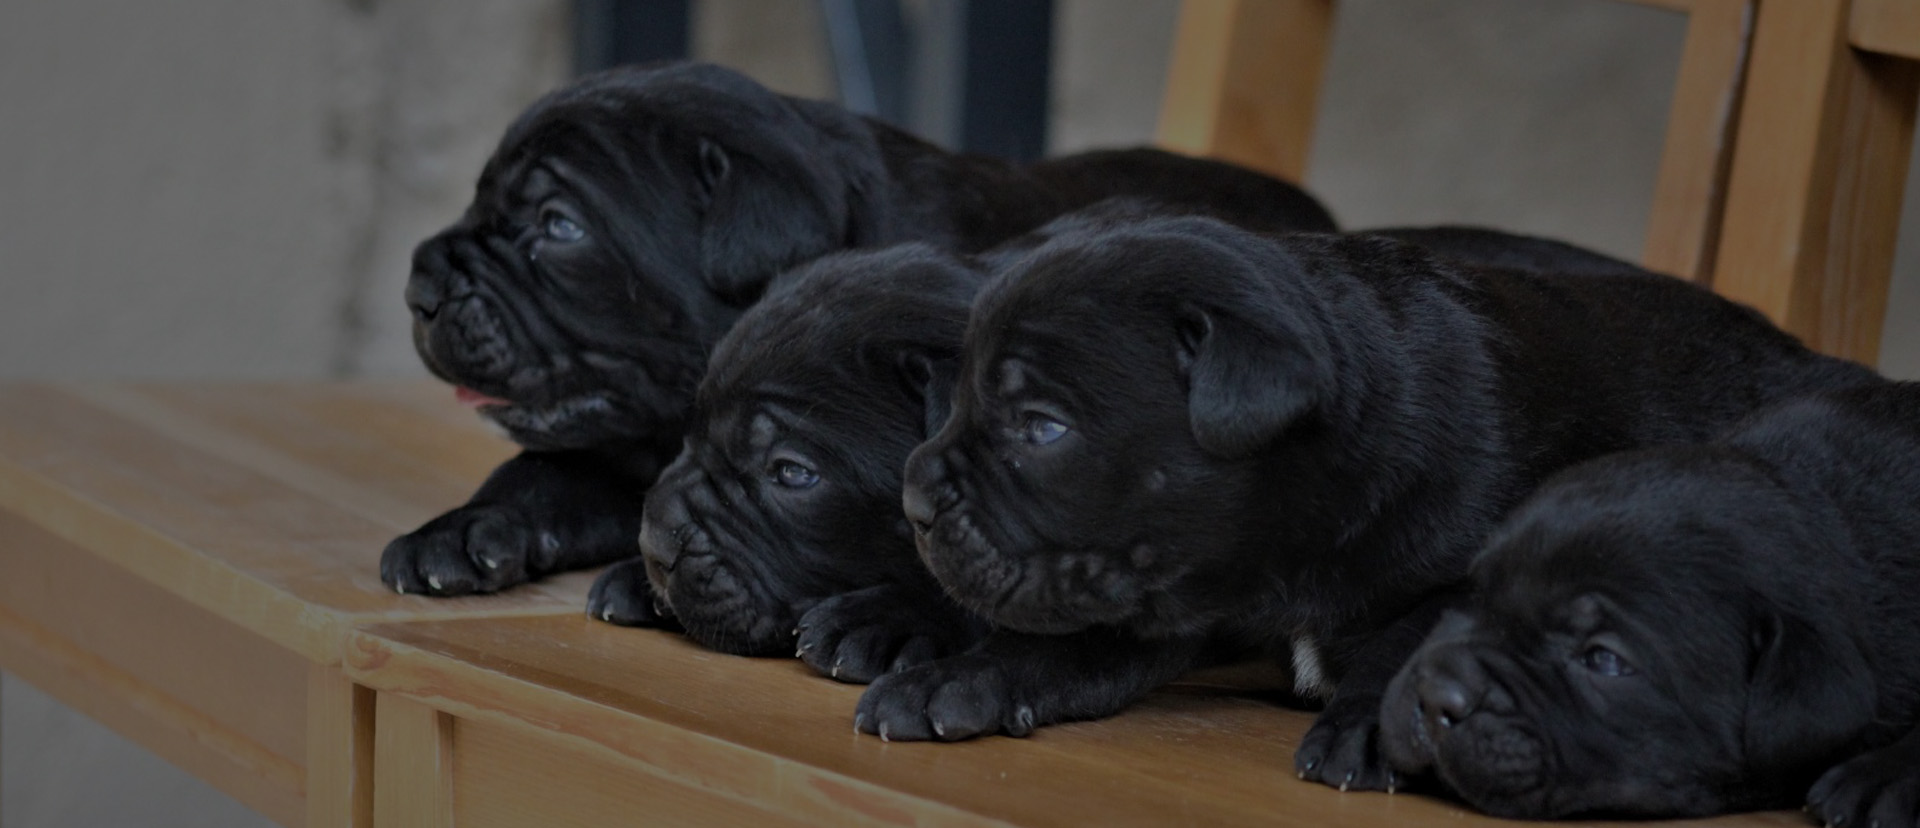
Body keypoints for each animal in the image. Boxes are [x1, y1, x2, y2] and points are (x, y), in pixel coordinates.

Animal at [875, 210, 1873, 787]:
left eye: (1041, 427)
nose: (914, 499)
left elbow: (1414, 637)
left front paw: (1370, 728)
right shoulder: (1157, 584)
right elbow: (1066, 645)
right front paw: (960, 677)